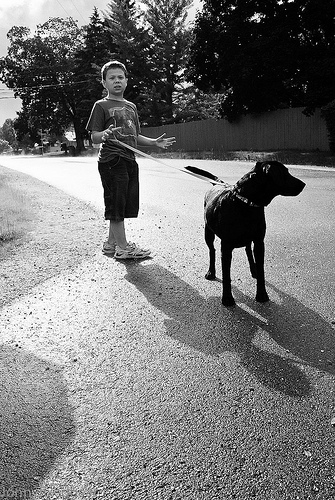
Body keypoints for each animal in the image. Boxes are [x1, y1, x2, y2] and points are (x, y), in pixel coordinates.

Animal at [205, 162, 308, 306]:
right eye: (284, 173)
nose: (303, 184)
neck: (246, 204)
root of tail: (217, 184)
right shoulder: (226, 246)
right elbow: (226, 274)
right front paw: (227, 298)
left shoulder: (259, 242)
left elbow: (261, 270)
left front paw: (262, 294)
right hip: (208, 233)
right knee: (212, 251)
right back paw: (211, 272)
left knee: (248, 250)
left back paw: (253, 270)